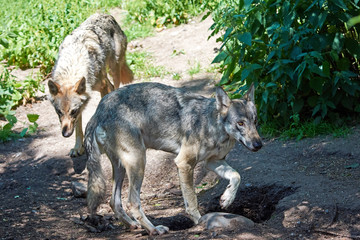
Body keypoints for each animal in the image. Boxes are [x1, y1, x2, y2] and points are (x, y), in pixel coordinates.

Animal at [47, 13, 132, 157]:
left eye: (73, 111)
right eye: (58, 112)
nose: (65, 134)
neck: (72, 65)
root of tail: (107, 15)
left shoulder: (101, 87)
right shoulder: (82, 105)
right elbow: (78, 128)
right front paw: (77, 148)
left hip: (113, 69)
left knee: (115, 86)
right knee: (112, 86)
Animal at [83, 81, 262, 235]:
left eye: (255, 121)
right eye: (240, 123)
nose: (259, 145)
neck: (213, 125)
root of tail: (99, 110)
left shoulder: (213, 162)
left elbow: (237, 176)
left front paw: (227, 199)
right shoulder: (184, 163)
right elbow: (192, 201)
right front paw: (200, 222)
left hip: (121, 168)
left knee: (114, 202)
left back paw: (133, 225)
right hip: (138, 163)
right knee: (132, 202)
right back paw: (153, 230)